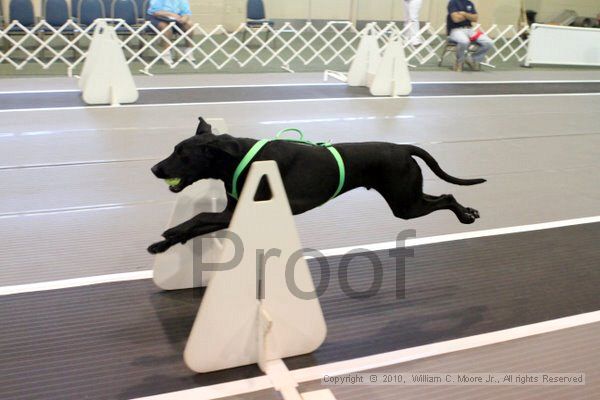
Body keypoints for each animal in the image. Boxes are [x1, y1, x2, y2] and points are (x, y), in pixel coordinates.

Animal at [148, 117, 486, 253]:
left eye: (183, 155)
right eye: (174, 149)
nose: (154, 168)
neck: (238, 157)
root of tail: (403, 147)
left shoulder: (236, 212)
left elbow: (199, 217)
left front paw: (171, 231)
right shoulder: (231, 214)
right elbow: (198, 225)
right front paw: (163, 243)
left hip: (404, 204)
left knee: (446, 196)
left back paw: (465, 215)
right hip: (408, 195)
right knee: (441, 195)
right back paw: (469, 211)